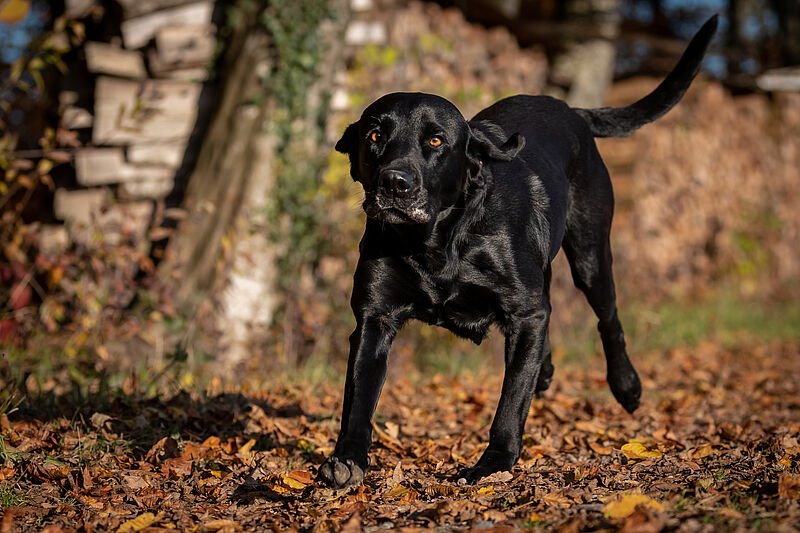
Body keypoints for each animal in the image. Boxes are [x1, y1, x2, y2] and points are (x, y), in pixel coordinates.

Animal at [318, 16, 720, 486]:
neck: (437, 242)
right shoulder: (375, 318)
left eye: (435, 141)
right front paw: (347, 459)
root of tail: (572, 110)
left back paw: (627, 386)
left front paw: (493, 462)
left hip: (590, 254)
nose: (394, 183)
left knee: (608, 319)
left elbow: (510, 401)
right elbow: (359, 398)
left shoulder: (524, 309)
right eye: (375, 135)